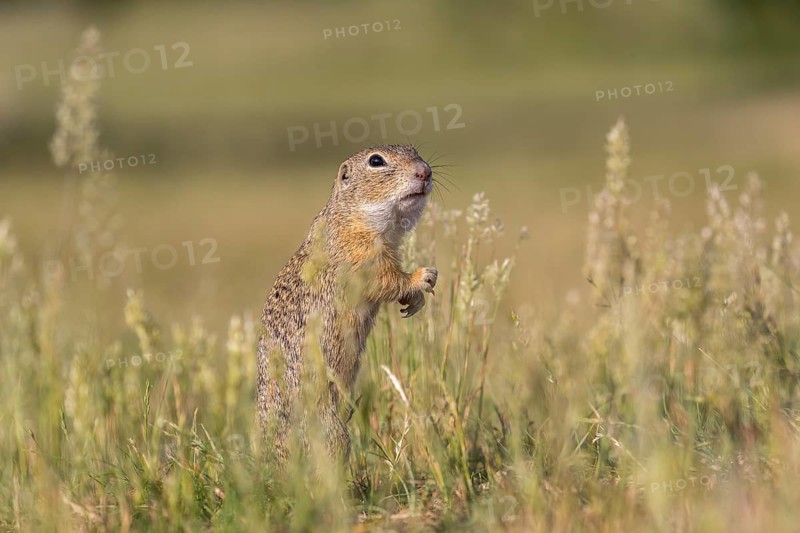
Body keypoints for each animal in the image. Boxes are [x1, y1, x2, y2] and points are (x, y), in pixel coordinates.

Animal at [256, 144, 437, 463]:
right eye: (376, 161)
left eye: (415, 150)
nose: (425, 171)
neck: (353, 215)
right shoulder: (361, 255)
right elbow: (387, 279)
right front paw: (423, 277)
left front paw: (414, 302)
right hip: (330, 432)